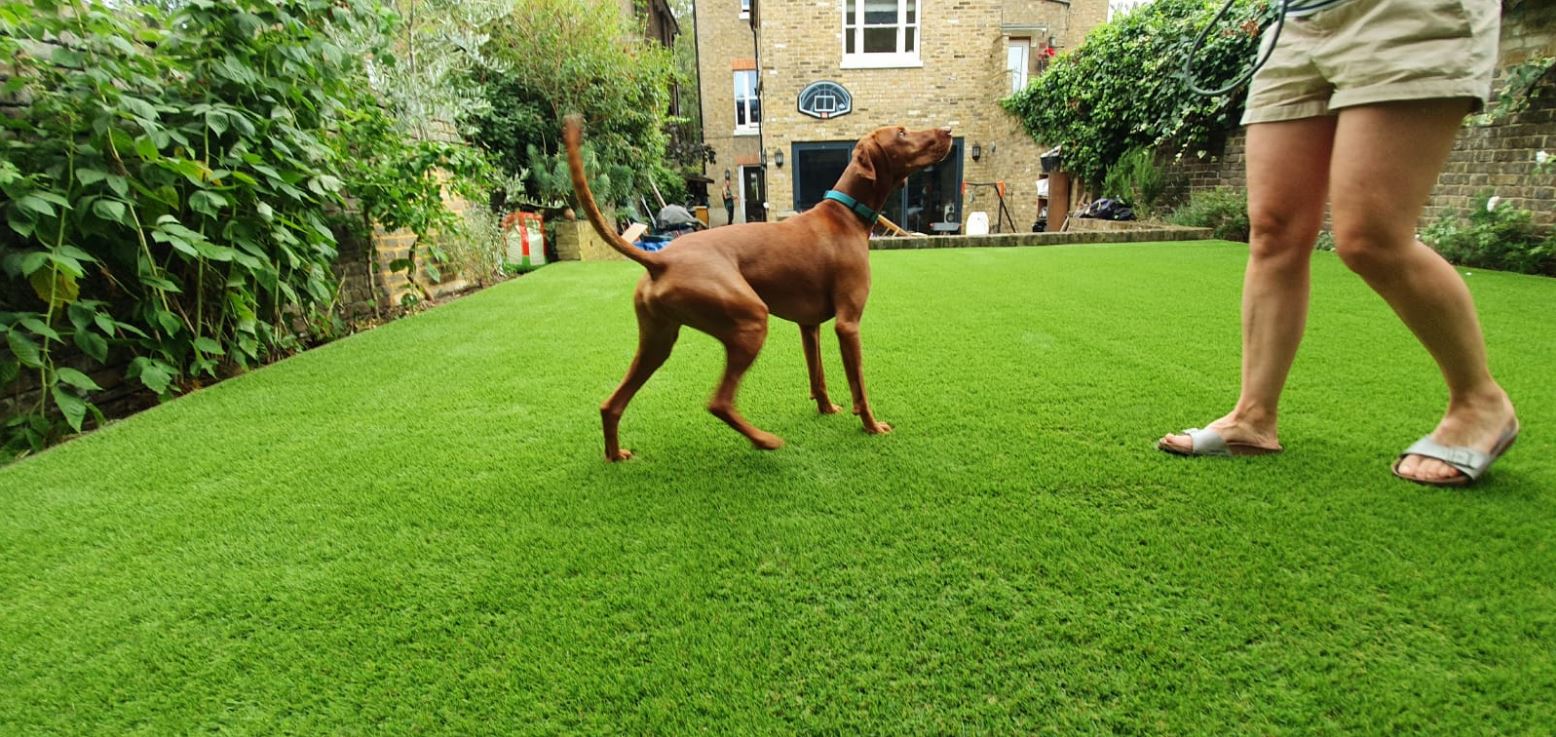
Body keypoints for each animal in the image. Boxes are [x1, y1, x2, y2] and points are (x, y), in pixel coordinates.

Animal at [566, 115, 952, 460]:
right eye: (901, 133)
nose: (948, 130)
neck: (847, 214)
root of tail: (660, 260)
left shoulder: (809, 326)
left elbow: (818, 376)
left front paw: (826, 409)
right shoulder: (848, 324)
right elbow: (859, 385)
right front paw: (871, 426)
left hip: (657, 342)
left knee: (610, 405)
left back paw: (615, 455)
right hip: (751, 320)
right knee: (719, 402)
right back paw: (764, 441)